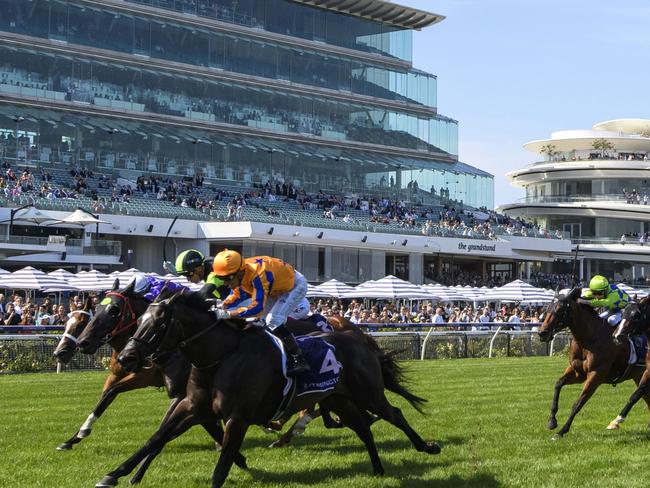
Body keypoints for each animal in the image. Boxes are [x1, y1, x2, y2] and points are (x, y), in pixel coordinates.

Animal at [95, 292, 440, 486]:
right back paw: (379, 470)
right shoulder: (192, 407)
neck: (220, 357)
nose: (126, 358)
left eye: (158, 324)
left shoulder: (238, 417)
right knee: (364, 429)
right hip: (338, 398)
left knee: (394, 413)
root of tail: (359, 338)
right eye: (139, 320)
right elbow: (157, 437)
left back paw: (427, 447)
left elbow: (222, 466)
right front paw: (113, 474)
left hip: (368, 393)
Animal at [536, 290, 644, 438]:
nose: (542, 333)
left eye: (559, 309)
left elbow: (578, 403)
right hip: (638, 376)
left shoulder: (596, 374)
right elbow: (558, 384)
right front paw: (552, 422)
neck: (590, 339)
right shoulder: (578, 372)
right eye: (547, 309)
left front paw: (562, 431)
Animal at [604, 298, 650, 430]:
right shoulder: (648, 371)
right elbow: (636, 394)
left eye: (636, 315)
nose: (616, 335)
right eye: (623, 312)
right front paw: (615, 421)